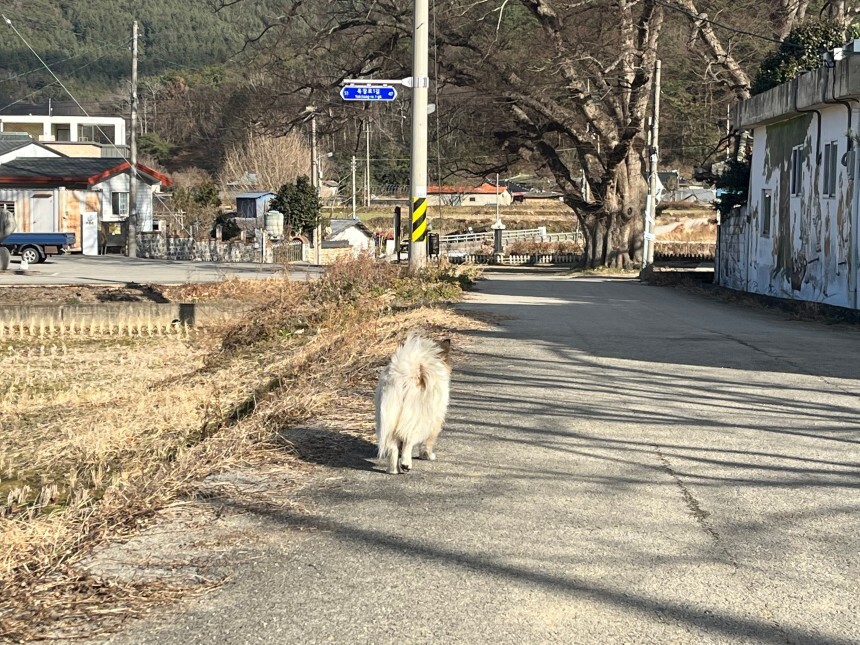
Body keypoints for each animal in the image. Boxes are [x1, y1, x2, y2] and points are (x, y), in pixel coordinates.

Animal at [378, 332, 454, 472]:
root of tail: (409, 374)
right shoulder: (436, 420)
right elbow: (428, 441)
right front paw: (428, 455)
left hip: (389, 415)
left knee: (393, 446)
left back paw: (392, 470)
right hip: (418, 417)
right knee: (408, 440)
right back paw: (406, 465)